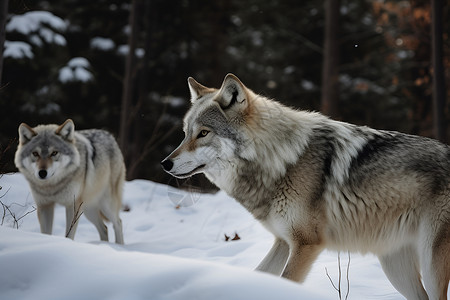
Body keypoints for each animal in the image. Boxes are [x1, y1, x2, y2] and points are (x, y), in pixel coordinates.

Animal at [163, 74, 450, 298]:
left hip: (430, 263)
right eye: (185, 133)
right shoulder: (283, 242)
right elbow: (259, 275)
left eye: (203, 133)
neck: (281, 160)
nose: (165, 163)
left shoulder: (306, 244)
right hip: (395, 267)